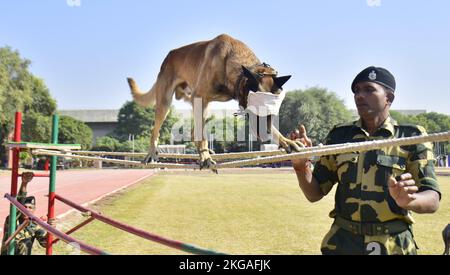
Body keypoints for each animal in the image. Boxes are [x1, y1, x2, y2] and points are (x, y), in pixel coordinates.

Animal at [126, 33, 302, 169]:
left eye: (272, 112)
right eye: (257, 108)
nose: (264, 134)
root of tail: (168, 56)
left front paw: (285, 141)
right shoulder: (199, 96)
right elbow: (202, 134)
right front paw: (204, 157)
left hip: (200, 104)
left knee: (194, 131)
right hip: (166, 102)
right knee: (156, 129)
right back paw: (152, 152)